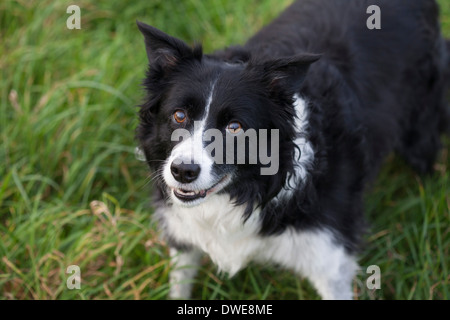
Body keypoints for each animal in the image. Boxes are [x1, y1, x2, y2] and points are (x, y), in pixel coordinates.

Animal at [136, 0, 450, 300]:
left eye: (235, 127)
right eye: (179, 115)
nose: (183, 171)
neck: (247, 191)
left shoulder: (329, 256)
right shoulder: (183, 231)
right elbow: (180, 281)